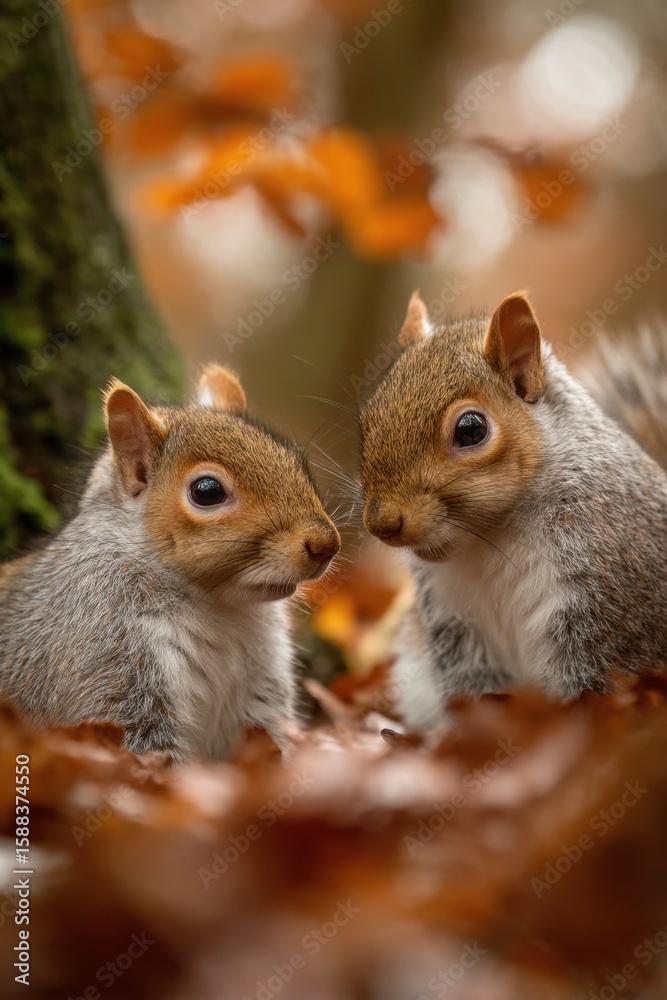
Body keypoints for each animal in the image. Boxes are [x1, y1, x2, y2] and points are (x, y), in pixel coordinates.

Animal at [0, 364, 340, 760]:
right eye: (206, 491)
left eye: (296, 460)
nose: (326, 544)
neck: (220, 609)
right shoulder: (104, 652)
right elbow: (144, 749)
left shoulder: (262, 683)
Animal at [359, 290, 667, 732]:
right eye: (366, 421)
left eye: (471, 429)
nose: (383, 524)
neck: (494, 538)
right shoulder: (454, 622)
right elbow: (472, 690)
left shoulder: (602, 601)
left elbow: (590, 687)